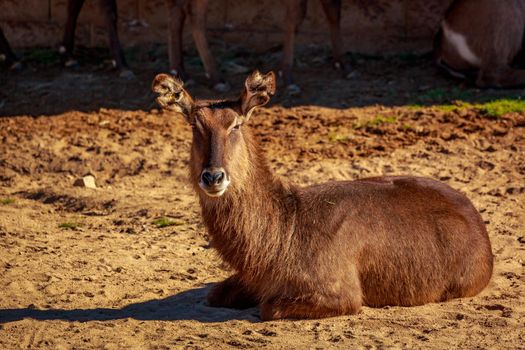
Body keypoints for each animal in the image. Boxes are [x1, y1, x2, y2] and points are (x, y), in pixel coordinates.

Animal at [150, 70, 492, 320]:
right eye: (195, 125)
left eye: (235, 124)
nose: (214, 176)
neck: (282, 232)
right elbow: (214, 295)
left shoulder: (341, 295)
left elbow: (268, 308)